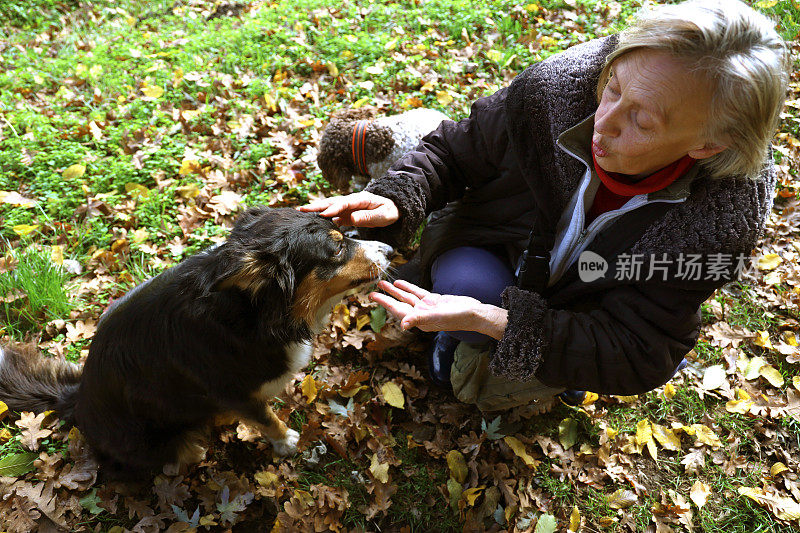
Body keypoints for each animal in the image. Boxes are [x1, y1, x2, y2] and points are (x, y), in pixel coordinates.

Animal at [0, 206, 390, 476]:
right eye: (336, 249)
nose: (389, 248)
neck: (254, 314)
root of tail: (77, 398)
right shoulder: (234, 393)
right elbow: (266, 418)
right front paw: (286, 441)